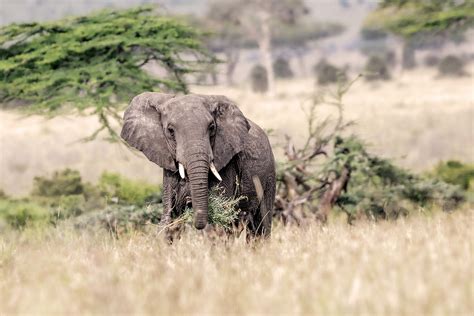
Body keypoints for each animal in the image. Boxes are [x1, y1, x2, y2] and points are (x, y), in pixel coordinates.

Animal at [120, 92, 276, 241]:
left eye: (212, 128)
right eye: (170, 130)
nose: (190, 203)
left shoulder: (227, 163)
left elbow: (219, 223)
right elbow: (169, 219)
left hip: (269, 175)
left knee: (261, 226)